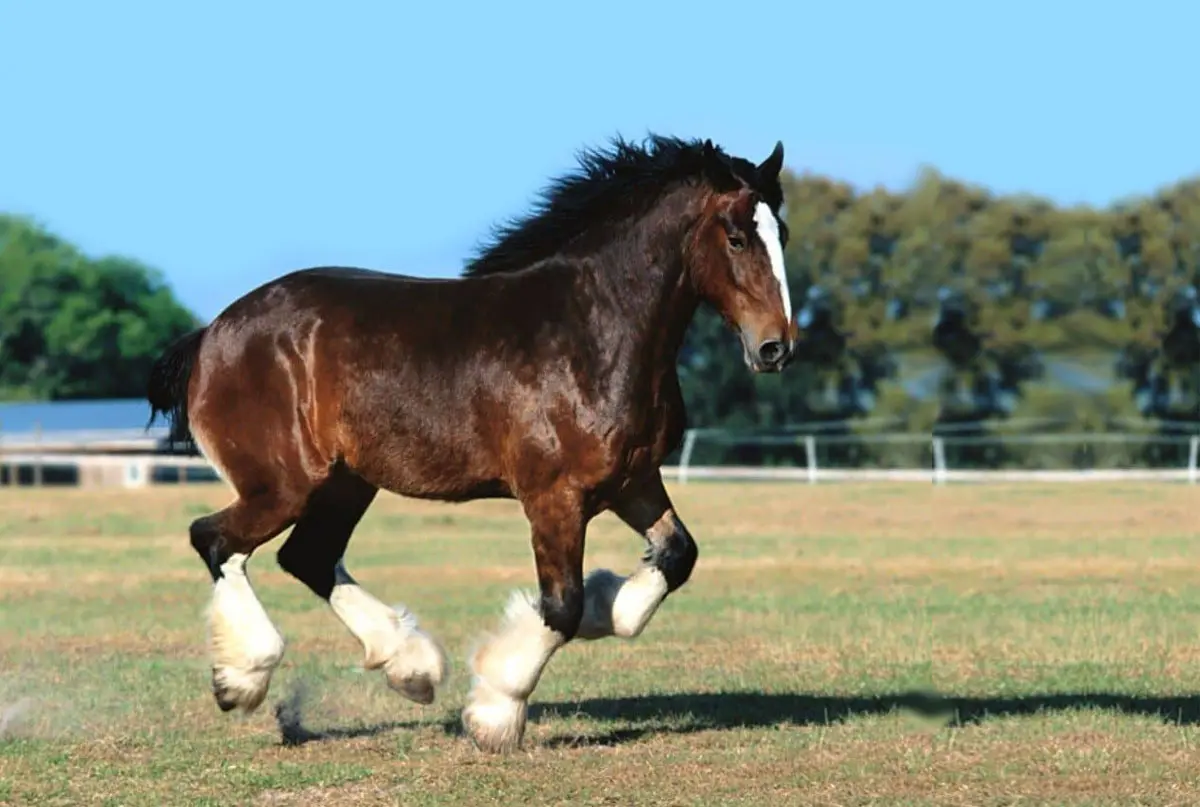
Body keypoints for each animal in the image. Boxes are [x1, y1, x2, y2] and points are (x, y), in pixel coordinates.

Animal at [147, 135, 796, 754]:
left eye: (782, 233)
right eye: (737, 237)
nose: (775, 347)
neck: (592, 333)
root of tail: (211, 334)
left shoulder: (633, 482)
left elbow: (674, 557)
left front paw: (605, 603)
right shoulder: (554, 497)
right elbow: (561, 606)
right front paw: (496, 713)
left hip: (345, 484)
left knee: (304, 556)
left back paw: (411, 668)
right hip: (284, 485)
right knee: (216, 540)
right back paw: (242, 679)